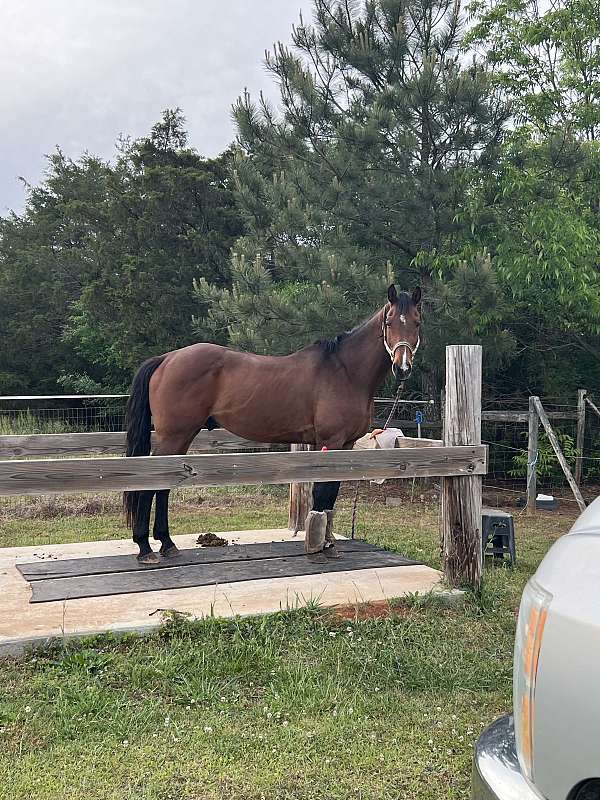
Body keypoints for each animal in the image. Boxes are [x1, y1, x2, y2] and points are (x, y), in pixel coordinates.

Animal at [123, 284, 422, 563]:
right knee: (150, 486)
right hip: (173, 436)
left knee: (163, 486)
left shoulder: (345, 446)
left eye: (417, 322)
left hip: (182, 438)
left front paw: (328, 545)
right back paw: (145, 548)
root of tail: (167, 358)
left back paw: (167, 543)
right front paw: (317, 548)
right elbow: (322, 494)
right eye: (389, 322)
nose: (402, 367)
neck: (345, 372)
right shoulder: (330, 442)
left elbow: (331, 497)